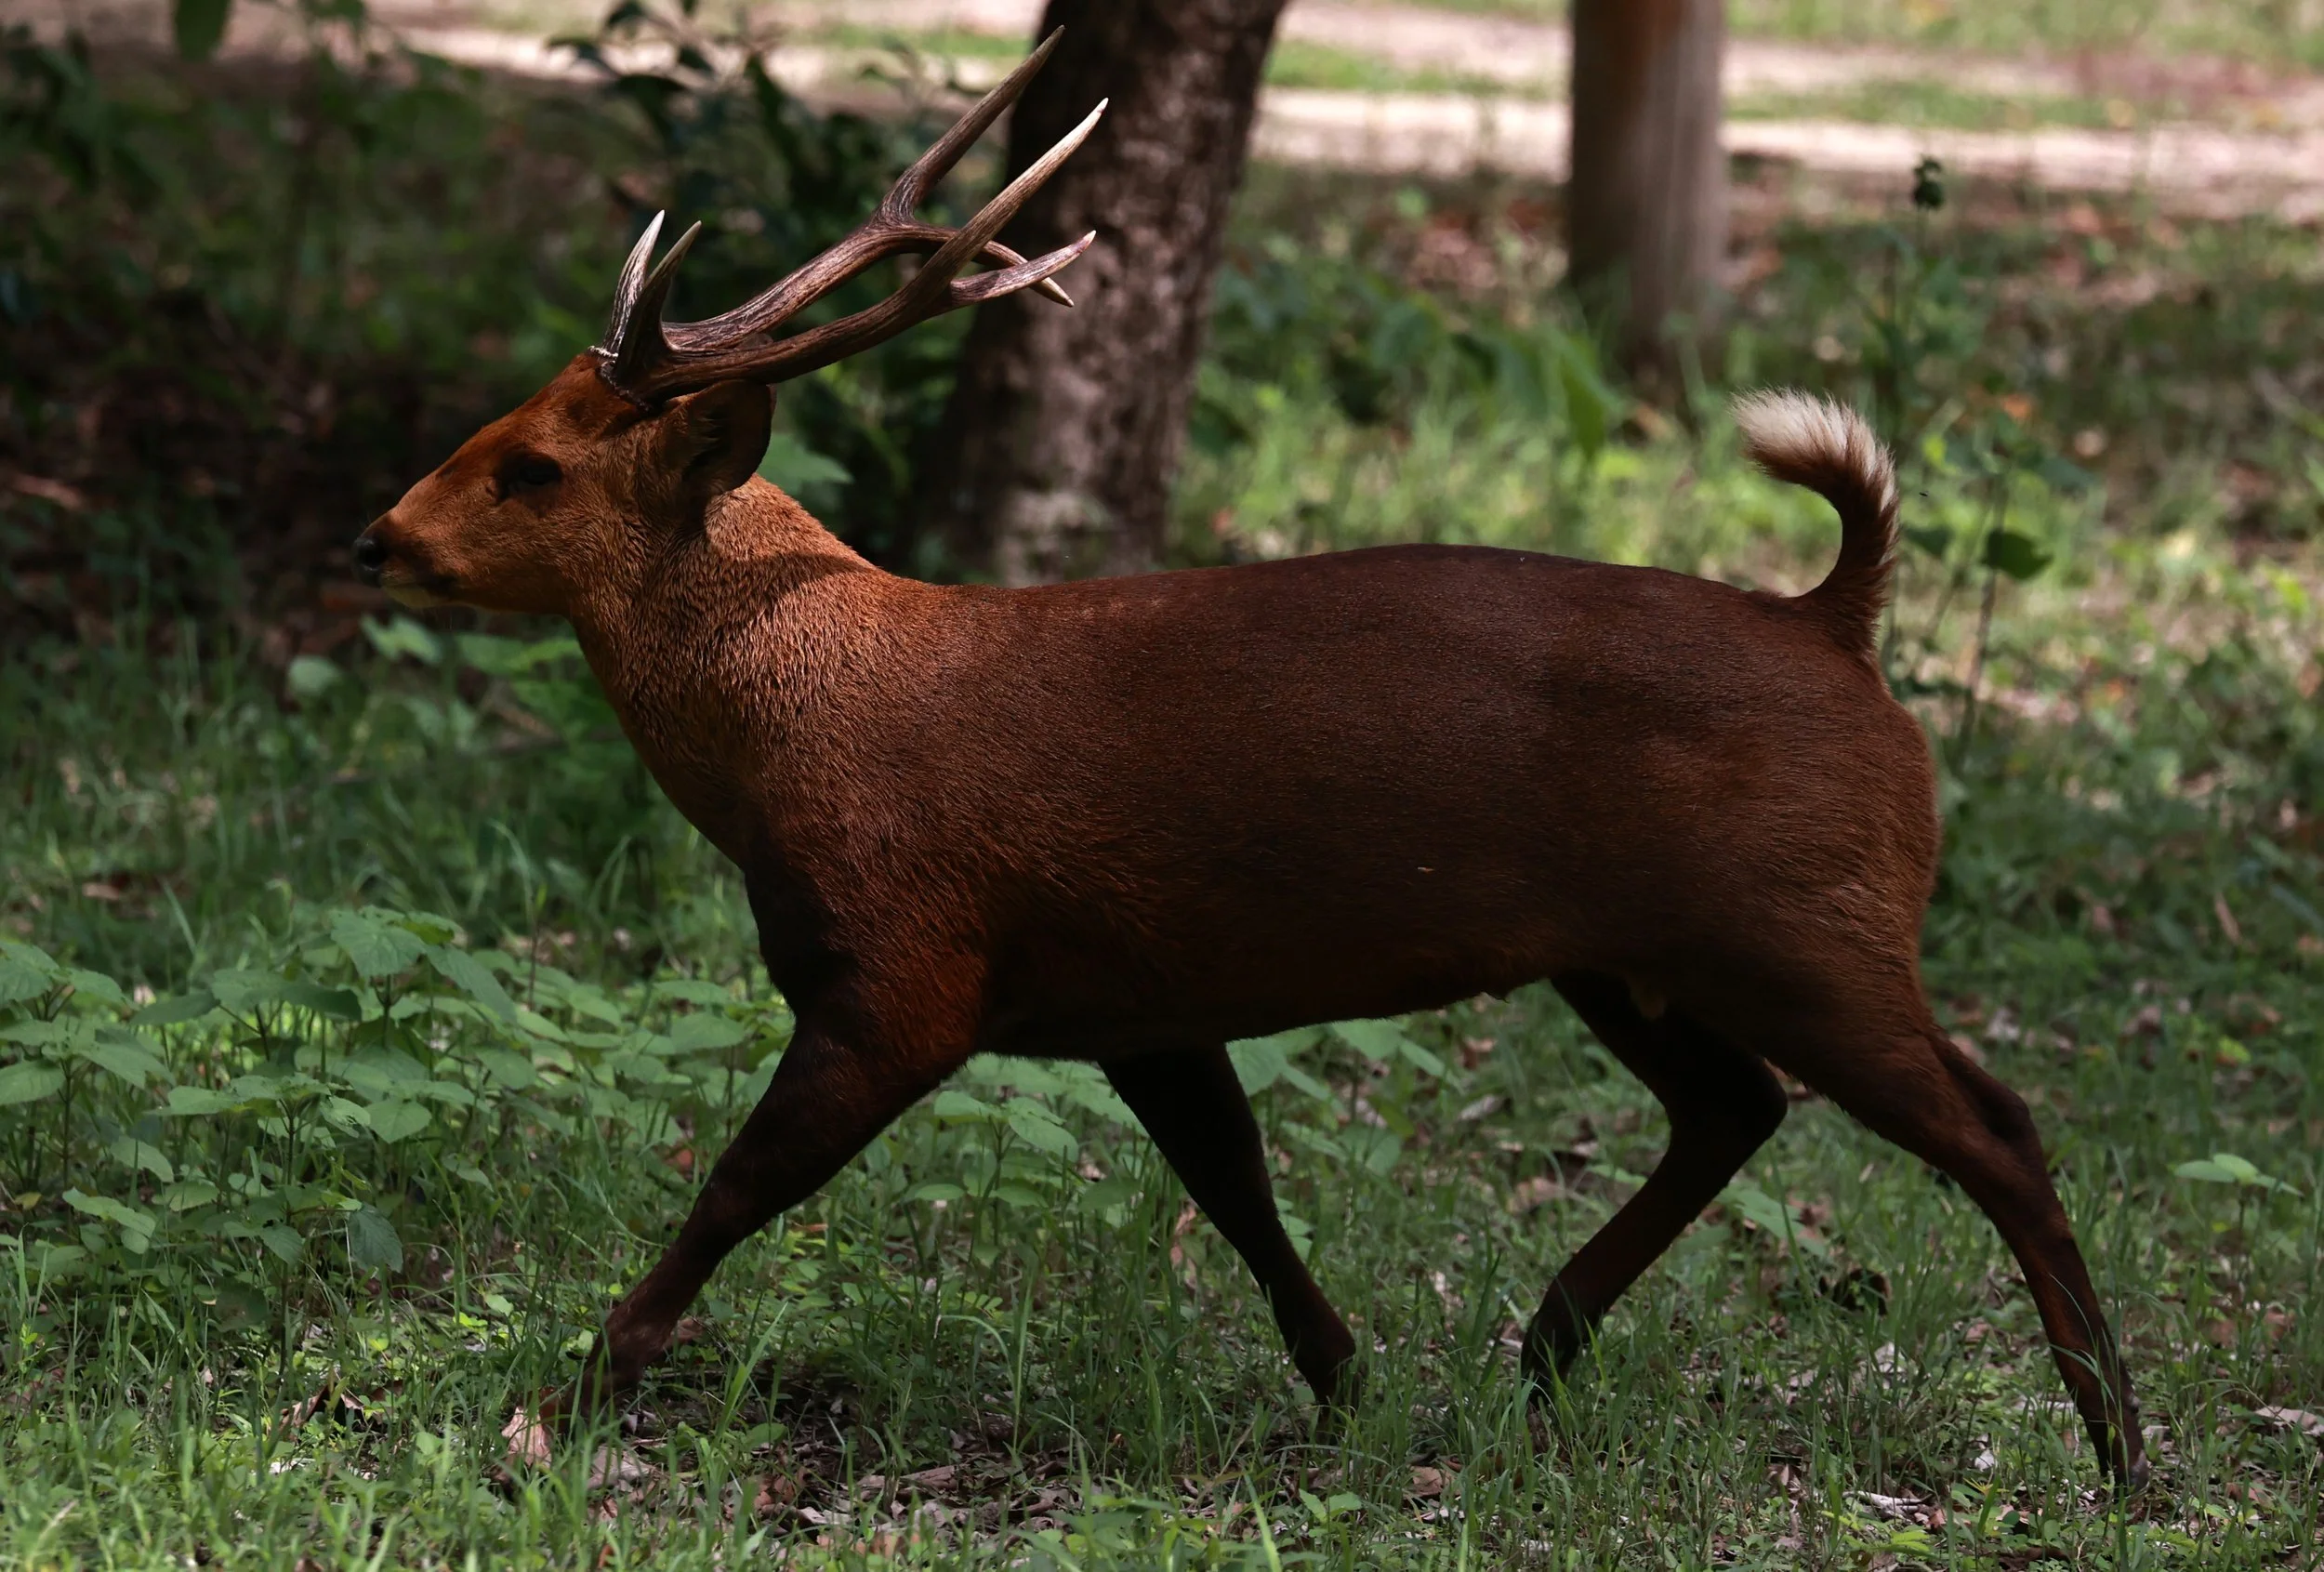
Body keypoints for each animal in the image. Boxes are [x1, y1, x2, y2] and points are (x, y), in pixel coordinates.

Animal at [350, 33, 2146, 1491]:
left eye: (532, 466)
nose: (377, 538)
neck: (802, 724)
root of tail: (1839, 622)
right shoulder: (1135, 996)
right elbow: (1239, 1188)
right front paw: (1349, 1395)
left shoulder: (909, 970)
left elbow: (733, 1188)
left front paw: (559, 1403)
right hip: (1631, 950)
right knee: (1737, 1106)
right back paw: (1543, 1353)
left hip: (1804, 918)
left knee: (1997, 1124)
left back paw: (2123, 1452)